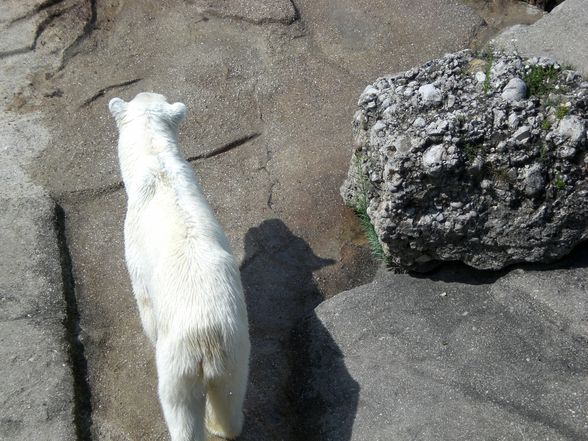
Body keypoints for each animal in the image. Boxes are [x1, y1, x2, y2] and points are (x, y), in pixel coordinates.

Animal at [109, 91, 249, 438]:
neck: (157, 163)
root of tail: (205, 335)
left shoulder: (134, 245)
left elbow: (145, 304)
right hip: (235, 347)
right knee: (230, 394)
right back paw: (225, 426)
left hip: (178, 363)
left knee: (179, 409)